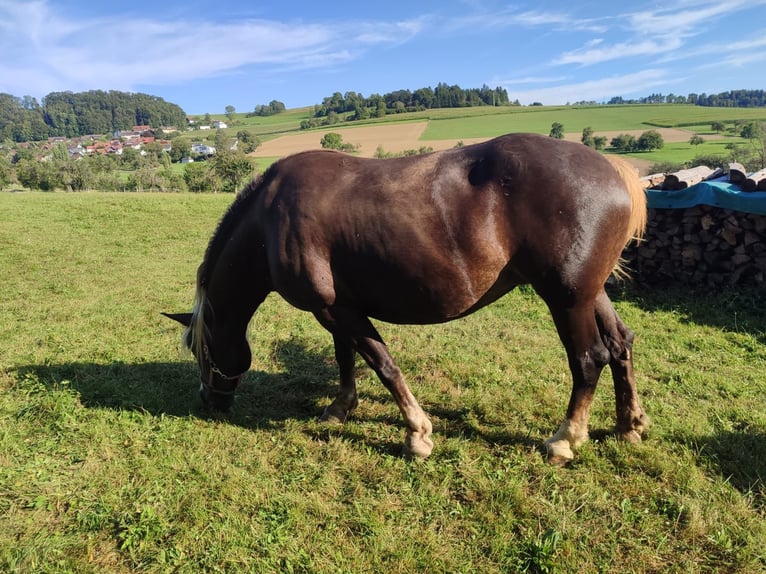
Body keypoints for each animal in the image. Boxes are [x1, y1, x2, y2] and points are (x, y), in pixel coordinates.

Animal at [165, 133, 652, 466]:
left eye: (202, 349)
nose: (209, 400)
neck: (270, 219)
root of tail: (613, 169)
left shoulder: (335, 309)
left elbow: (383, 365)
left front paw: (417, 434)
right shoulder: (336, 308)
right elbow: (346, 358)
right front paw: (340, 409)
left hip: (566, 299)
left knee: (588, 359)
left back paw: (564, 440)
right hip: (589, 293)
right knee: (620, 343)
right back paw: (629, 424)